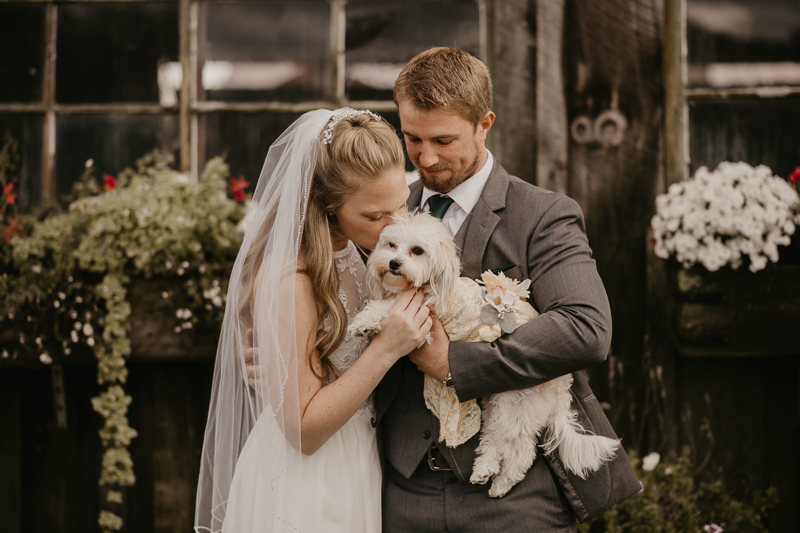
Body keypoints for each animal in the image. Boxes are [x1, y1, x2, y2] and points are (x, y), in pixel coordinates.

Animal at [348, 214, 620, 496]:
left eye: (417, 251)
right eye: (391, 245)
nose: (393, 263)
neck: (426, 285)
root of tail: (562, 386)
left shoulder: (423, 325)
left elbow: (387, 309)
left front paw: (365, 322)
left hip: (516, 404)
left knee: (521, 452)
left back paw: (501, 484)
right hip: (498, 404)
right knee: (492, 439)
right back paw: (483, 471)